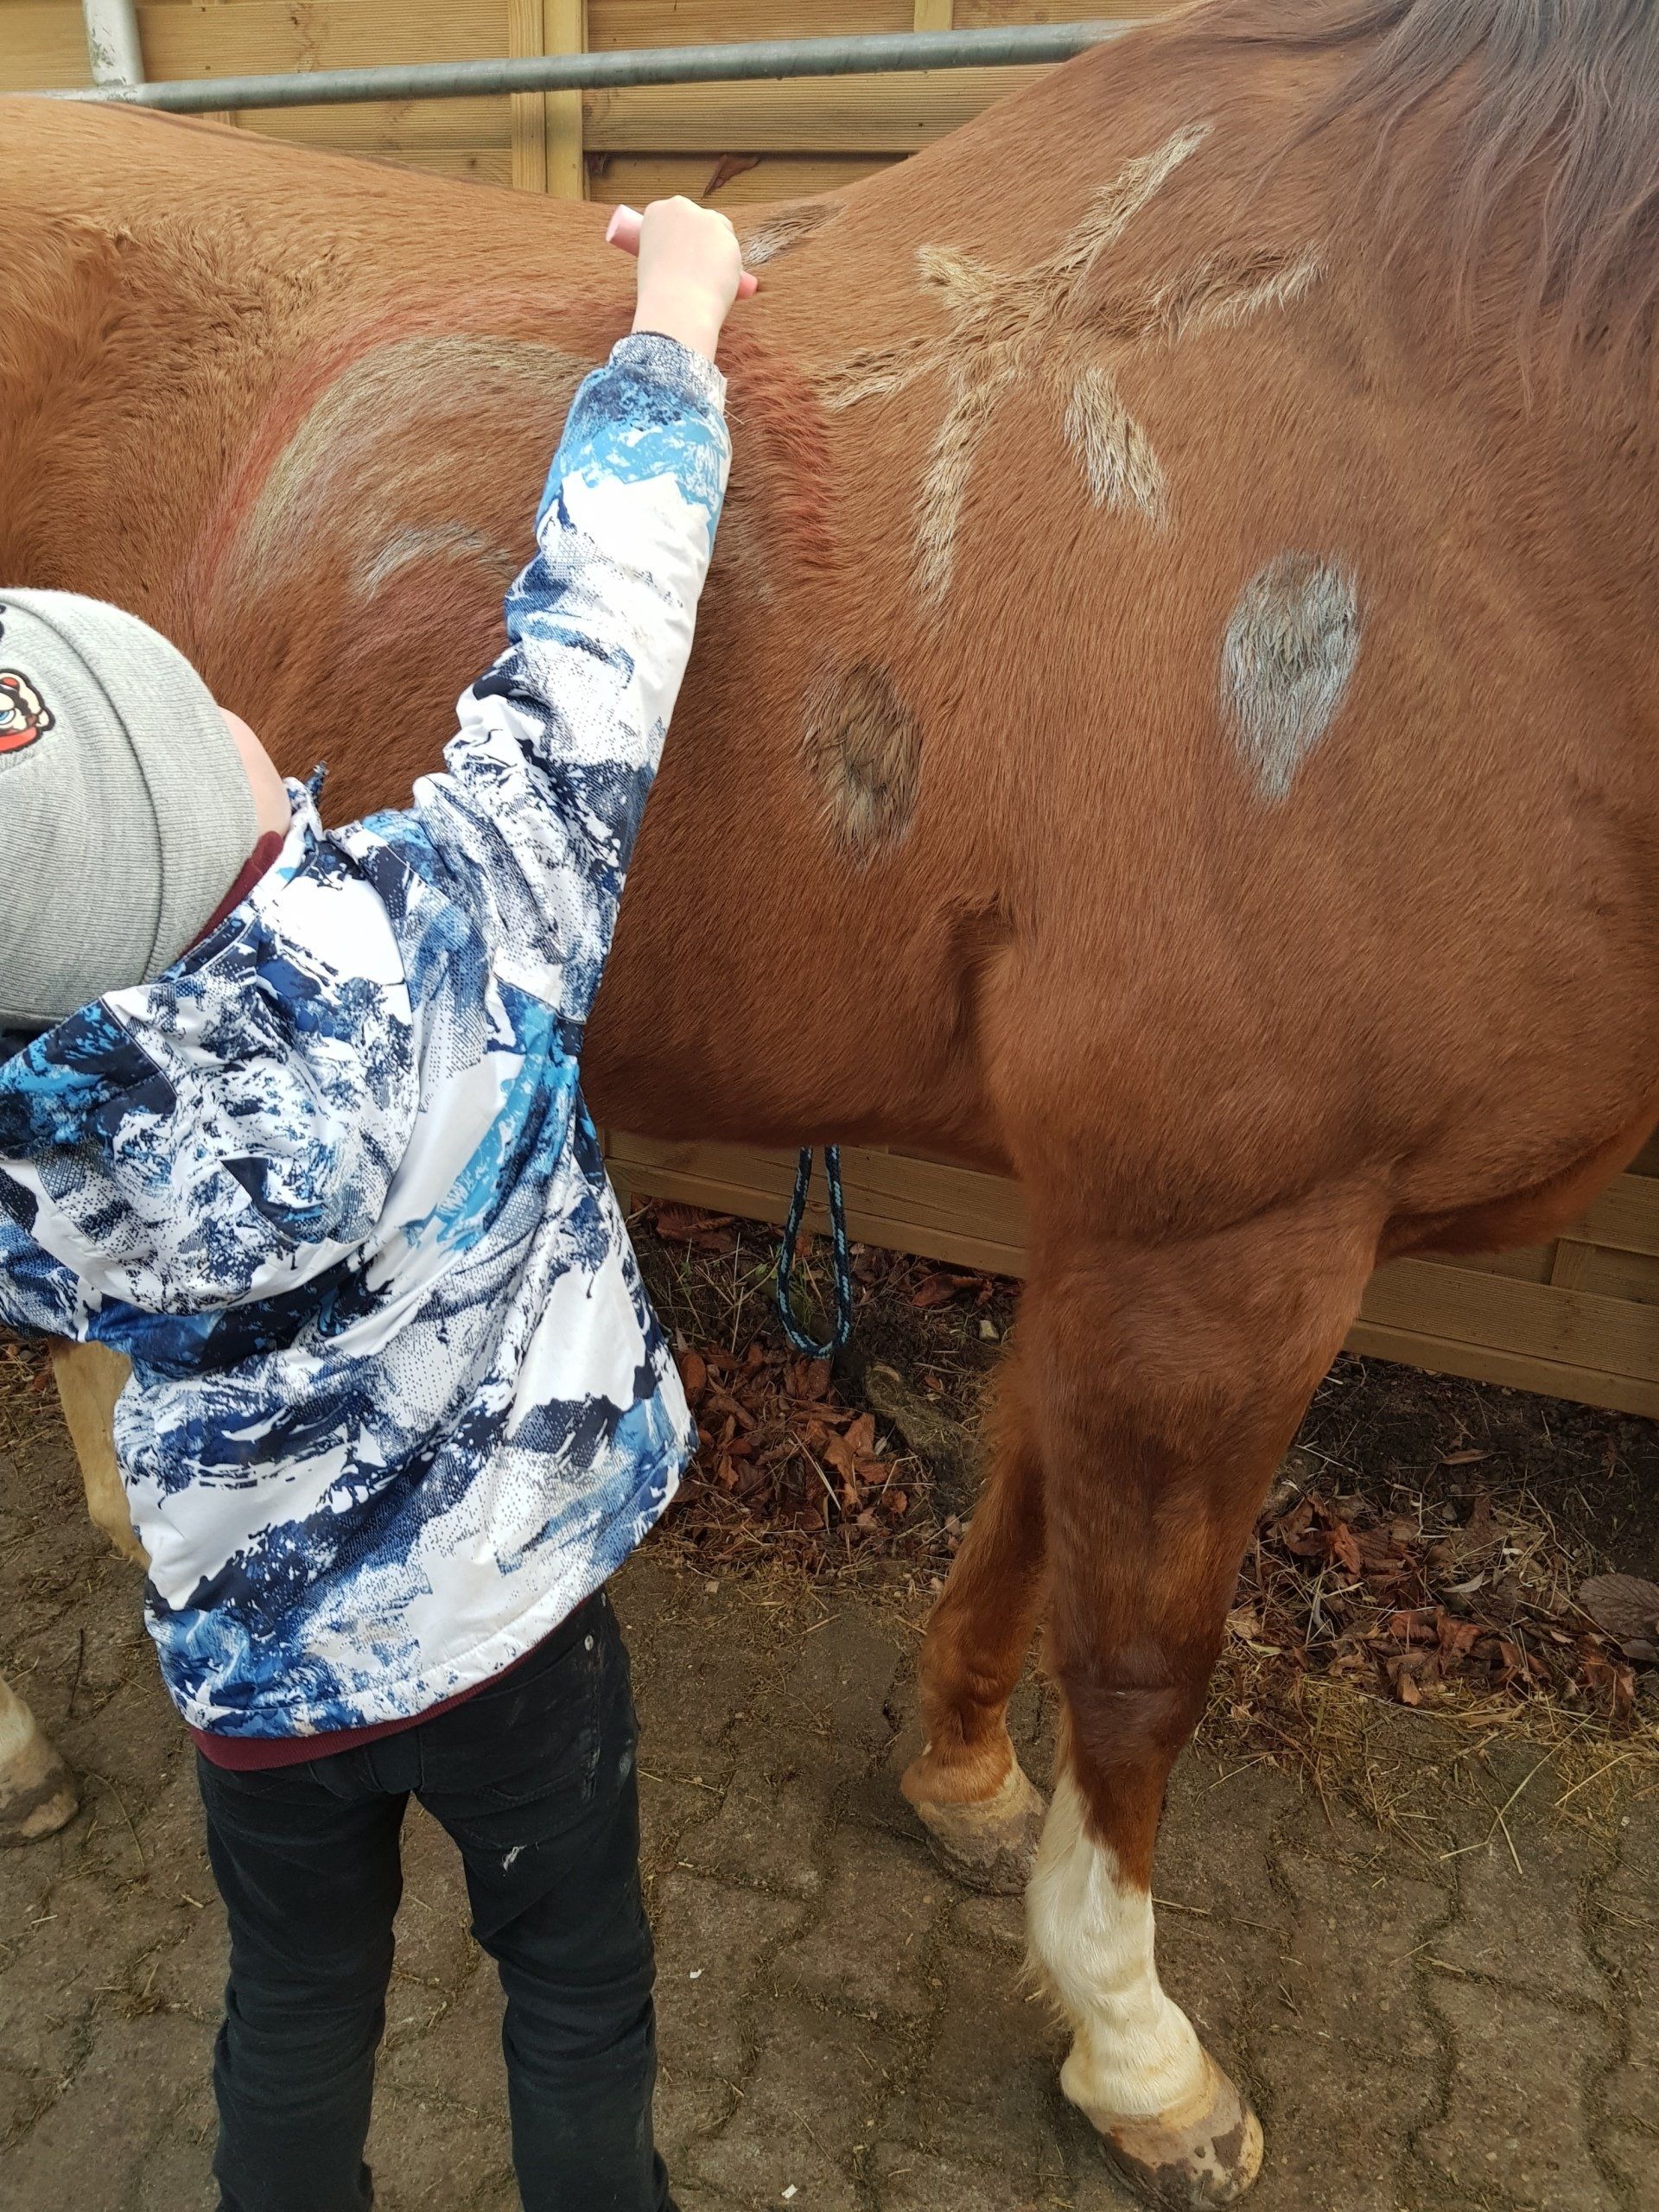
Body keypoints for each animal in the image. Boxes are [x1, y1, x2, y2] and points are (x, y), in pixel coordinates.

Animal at [1, 0, 1655, 2197]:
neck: (1462, 455)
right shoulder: (1230, 1238)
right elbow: (1146, 1655)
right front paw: (1134, 2043)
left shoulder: (1120, 1221)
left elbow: (1026, 1502)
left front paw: (958, 1777)